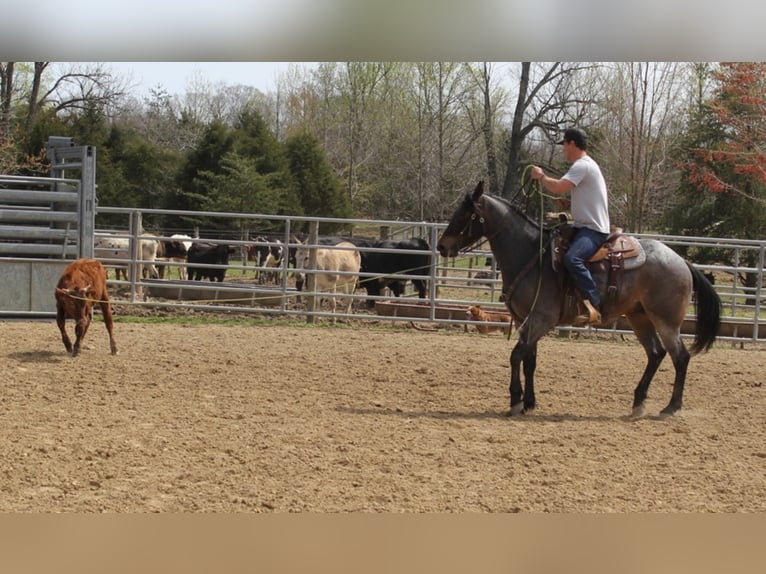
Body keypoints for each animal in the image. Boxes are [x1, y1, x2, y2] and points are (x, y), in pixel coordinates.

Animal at [438, 181, 720, 418]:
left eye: (464, 214)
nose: (441, 246)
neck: (530, 255)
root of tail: (682, 261)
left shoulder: (541, 318)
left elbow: (516, 356)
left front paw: (516, 401)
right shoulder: (525, 319)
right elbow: (530, 359)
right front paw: (529, 402)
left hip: (666, 320)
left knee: (680, 356)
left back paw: (671, 407)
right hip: (639, 316)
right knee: (656, 353)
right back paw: (638, 402)